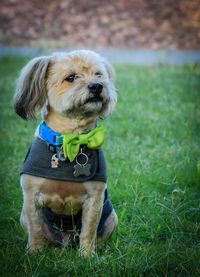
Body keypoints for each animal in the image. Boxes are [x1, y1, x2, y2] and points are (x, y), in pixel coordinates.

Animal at [14, 50, 118, 256]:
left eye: (98, 75)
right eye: (71, 77)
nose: (97, 86)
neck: (71, 139)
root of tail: (66, 242)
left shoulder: (95, 199)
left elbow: (89, 230)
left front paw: (87, 256)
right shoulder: (30, 197)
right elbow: (35, 229)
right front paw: (34, 253)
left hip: (111, 216)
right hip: (23, 215)